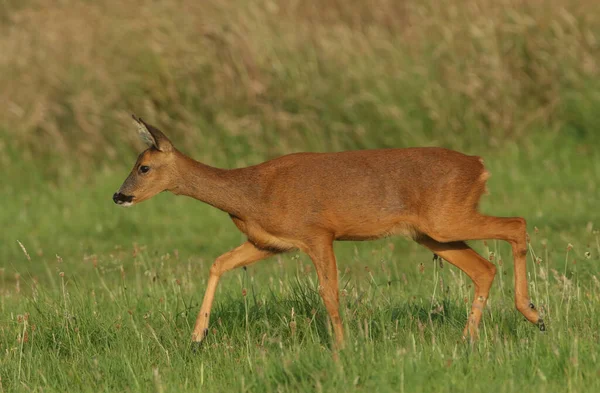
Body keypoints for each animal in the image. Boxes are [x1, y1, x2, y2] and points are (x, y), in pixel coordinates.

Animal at [111, 115, 544, 348]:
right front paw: (197, 338)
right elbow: (218, 263)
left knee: (517, 225)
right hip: (431, 233)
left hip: (446, 218)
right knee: (484, 267)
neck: (251, 193)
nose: (119, 195)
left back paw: (532, 313)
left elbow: (330, 293)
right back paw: (472, 337)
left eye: (144, 167)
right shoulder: (269, 243)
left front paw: (341, 347)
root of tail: (479, 165)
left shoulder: (318, 233)